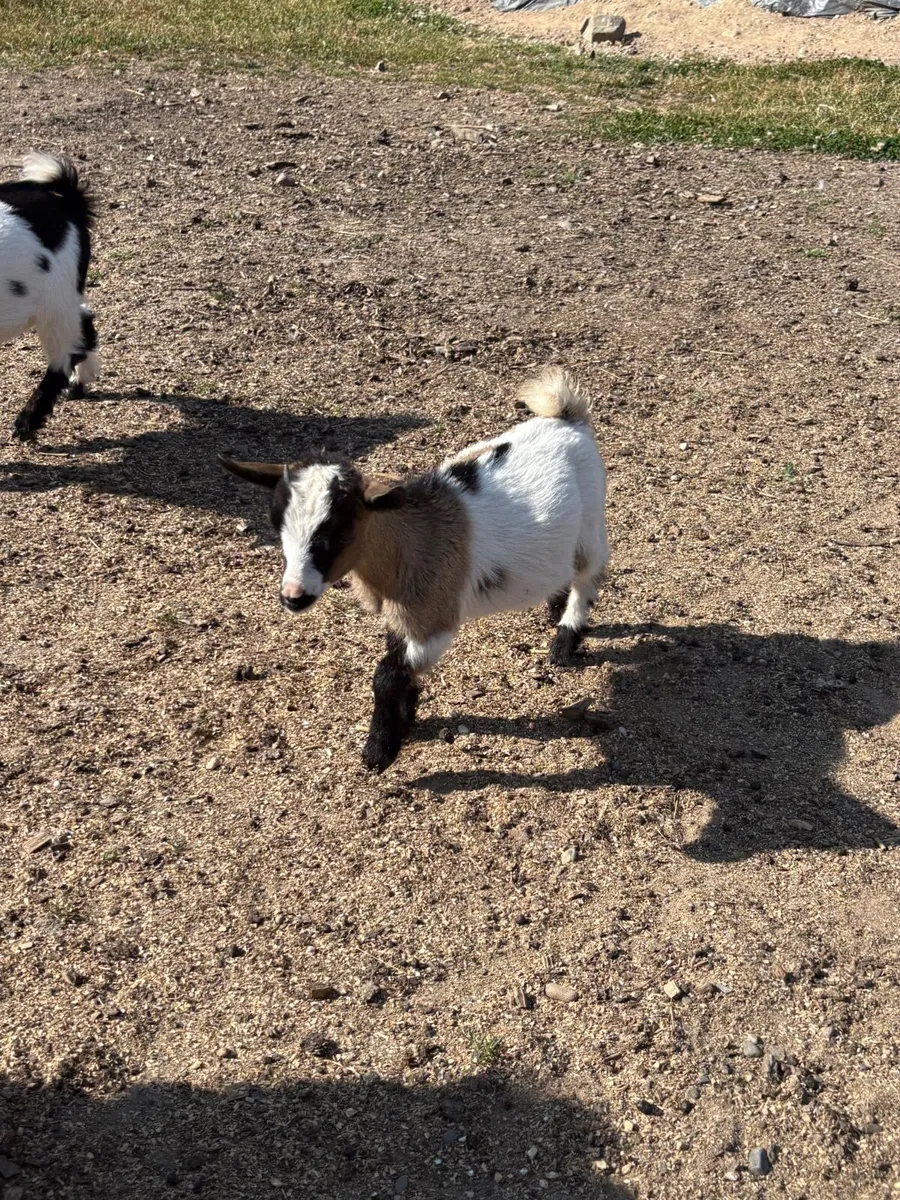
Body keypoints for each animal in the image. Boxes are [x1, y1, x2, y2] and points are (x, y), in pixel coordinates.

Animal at [0, 152, 98, 441]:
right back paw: (81, 382)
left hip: (56, 300)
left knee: (64, 356)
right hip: (64, 296)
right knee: (84, 323)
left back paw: (26, 421)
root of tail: (68, 202)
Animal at [220, 368, 609, 772]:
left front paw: (379, 750)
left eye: (337, 530)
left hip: (591, 523)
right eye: (276, 523)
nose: (293, 596)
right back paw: (553, 608)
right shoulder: (400, 614)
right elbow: (396, 664)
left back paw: (565, 638)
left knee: (589, 574)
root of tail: (567, 416)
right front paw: (404, 721)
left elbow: (386, 674)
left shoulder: (434, 620)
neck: (407, 541)